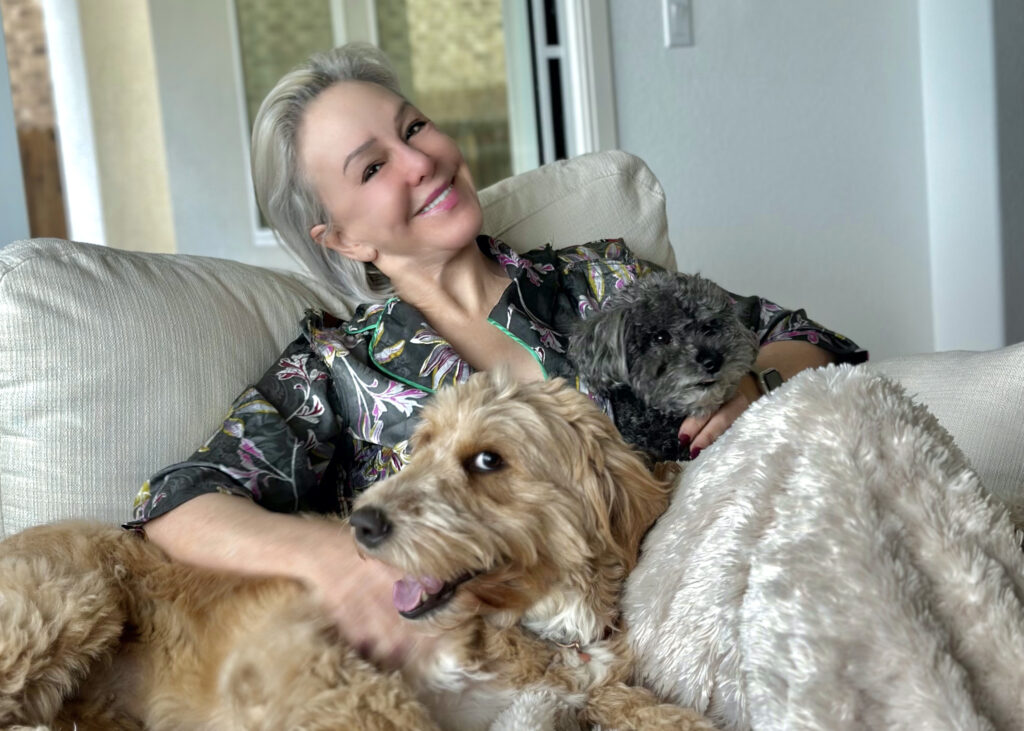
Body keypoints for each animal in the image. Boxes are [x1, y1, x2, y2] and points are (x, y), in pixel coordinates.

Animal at [0, 372, 712, 724]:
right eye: (420, 444)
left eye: (488, 460)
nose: (360, 524)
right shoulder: (302, 652)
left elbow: (652, 712)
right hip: (67, 604)